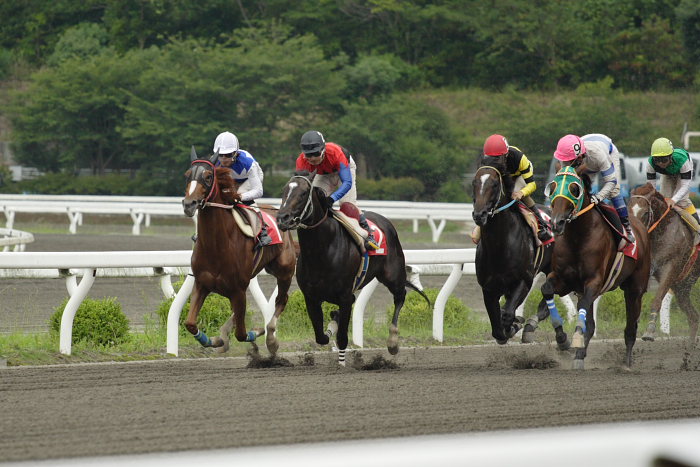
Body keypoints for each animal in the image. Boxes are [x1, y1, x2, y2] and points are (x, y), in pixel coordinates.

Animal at [180, 148, 296, 356]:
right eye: (187, 175)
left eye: (208, 176)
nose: (189, 204)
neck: (216, 246)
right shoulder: (202, 284)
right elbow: (190, 323)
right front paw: (214, 340)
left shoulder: (238, 290)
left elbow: (241, 334)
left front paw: (256, 333)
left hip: (284, 271)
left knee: (281, 300)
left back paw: (271, 339)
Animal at [274, 171, 426, 366]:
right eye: (284, 190)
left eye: (303, 193)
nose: (282, 218)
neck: (321, 251)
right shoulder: (311, 297)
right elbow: (321, 336)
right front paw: (332, 323)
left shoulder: (345, 297)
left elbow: (342, 337)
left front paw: (341, 362)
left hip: (393, 275)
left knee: (400, 296)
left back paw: (393, 341)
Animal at [470, 161, 556, 348]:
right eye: (474, 183)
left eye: (495, 184)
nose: (479, 215)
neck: (500, 246)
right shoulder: (489, 287)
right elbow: (497, 328)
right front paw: (509, 326)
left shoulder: (524, 280)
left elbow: (508, 314)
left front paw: (514, 324)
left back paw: (531, 325)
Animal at [544, 166, 652, 372]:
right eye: (552, 187)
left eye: (574, 189)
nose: (556, 223)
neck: (577, 237)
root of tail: (640, 227)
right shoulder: (563, 280)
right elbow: (546, 289)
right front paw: (562, 339)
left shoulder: (593, 282)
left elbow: (584, 310)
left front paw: (576, 339)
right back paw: (579, 356)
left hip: (635, 289)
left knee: (630, 329)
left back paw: (626, 364)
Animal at [628, 183, 700, 344]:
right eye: (628, 210)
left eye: (645, 213)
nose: (634, 234)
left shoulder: (671, 267)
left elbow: (658, 298)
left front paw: (649, 330)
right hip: (682, 287)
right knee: (693, 317)